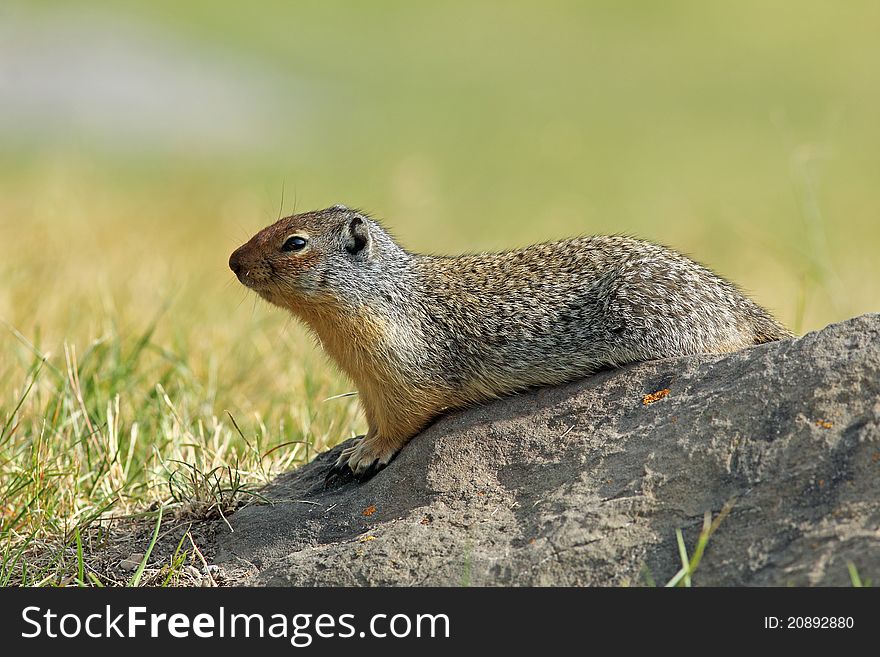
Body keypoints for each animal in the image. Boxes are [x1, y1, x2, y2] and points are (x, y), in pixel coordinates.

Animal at [229, 208, 792, 480]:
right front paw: (350, 447)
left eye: (295, 242)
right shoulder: (369, 382)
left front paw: (368, 454)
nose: (232, 261)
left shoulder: (402, 370)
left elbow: (401, 420)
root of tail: (736, 301)